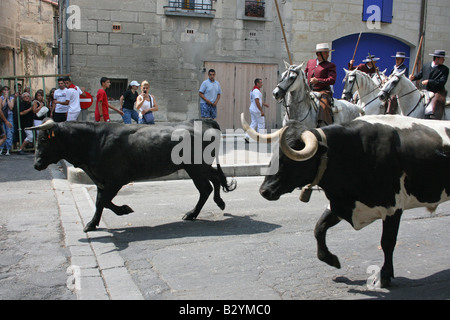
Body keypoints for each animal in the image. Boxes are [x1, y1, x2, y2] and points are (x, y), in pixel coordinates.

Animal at [27, 119, 236, 231]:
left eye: (44, 139)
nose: (36, 164)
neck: (94, 141)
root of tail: (202, 121)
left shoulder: (116, 179)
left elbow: (103, 201)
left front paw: (122, 210)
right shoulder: (102, 180)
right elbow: (100, 201)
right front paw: (93, 223)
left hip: (196, 168)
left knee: (205, 188)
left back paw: (192, 213)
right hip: (200, 167)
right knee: (216, 178)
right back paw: (219, 202)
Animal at [244, 114, 450, 288]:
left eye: (289, 160)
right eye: (273, 154)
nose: (264, 190)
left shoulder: (393, 208)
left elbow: (387, 243)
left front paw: (384, 277)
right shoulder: (341, 204)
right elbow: (319, 228)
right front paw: (330, 259)